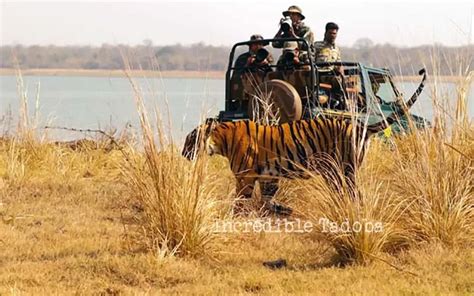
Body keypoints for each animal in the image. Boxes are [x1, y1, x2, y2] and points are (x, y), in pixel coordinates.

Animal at [181, 69, 426, 199]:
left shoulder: (246, 177)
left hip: (345, 168)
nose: (182, 154)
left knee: (354, 193)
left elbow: (240, 203)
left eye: (190, 140)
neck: (222, 139)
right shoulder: (267, 175)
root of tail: (357, 126)